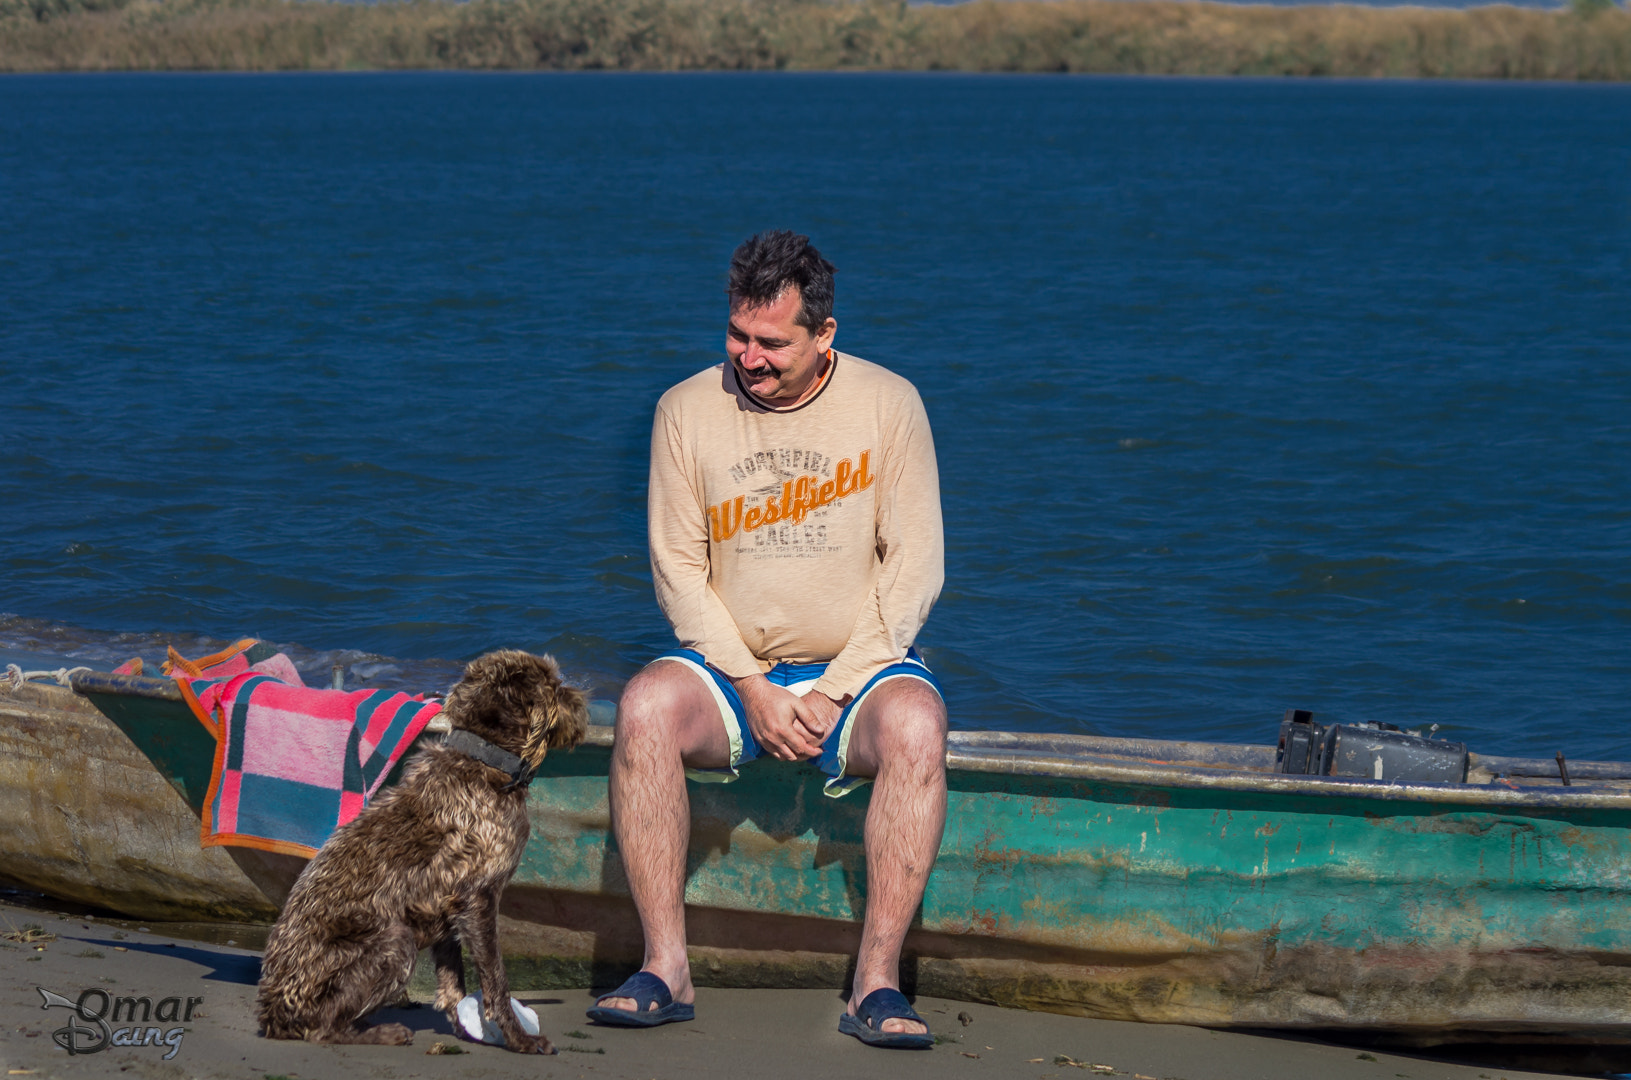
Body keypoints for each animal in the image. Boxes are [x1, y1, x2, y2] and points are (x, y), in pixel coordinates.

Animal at [254, 652, 587, 1057]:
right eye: (554, 684)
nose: (581, 699)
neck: (483, 761)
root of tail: (271, 1012)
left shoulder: (447, 908)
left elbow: (453, 982)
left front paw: (464, 1026)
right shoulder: (480, 899)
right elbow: (496, 980)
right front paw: (519, 1038)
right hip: (395, 941)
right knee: (322, 1029)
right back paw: (379, 1033)